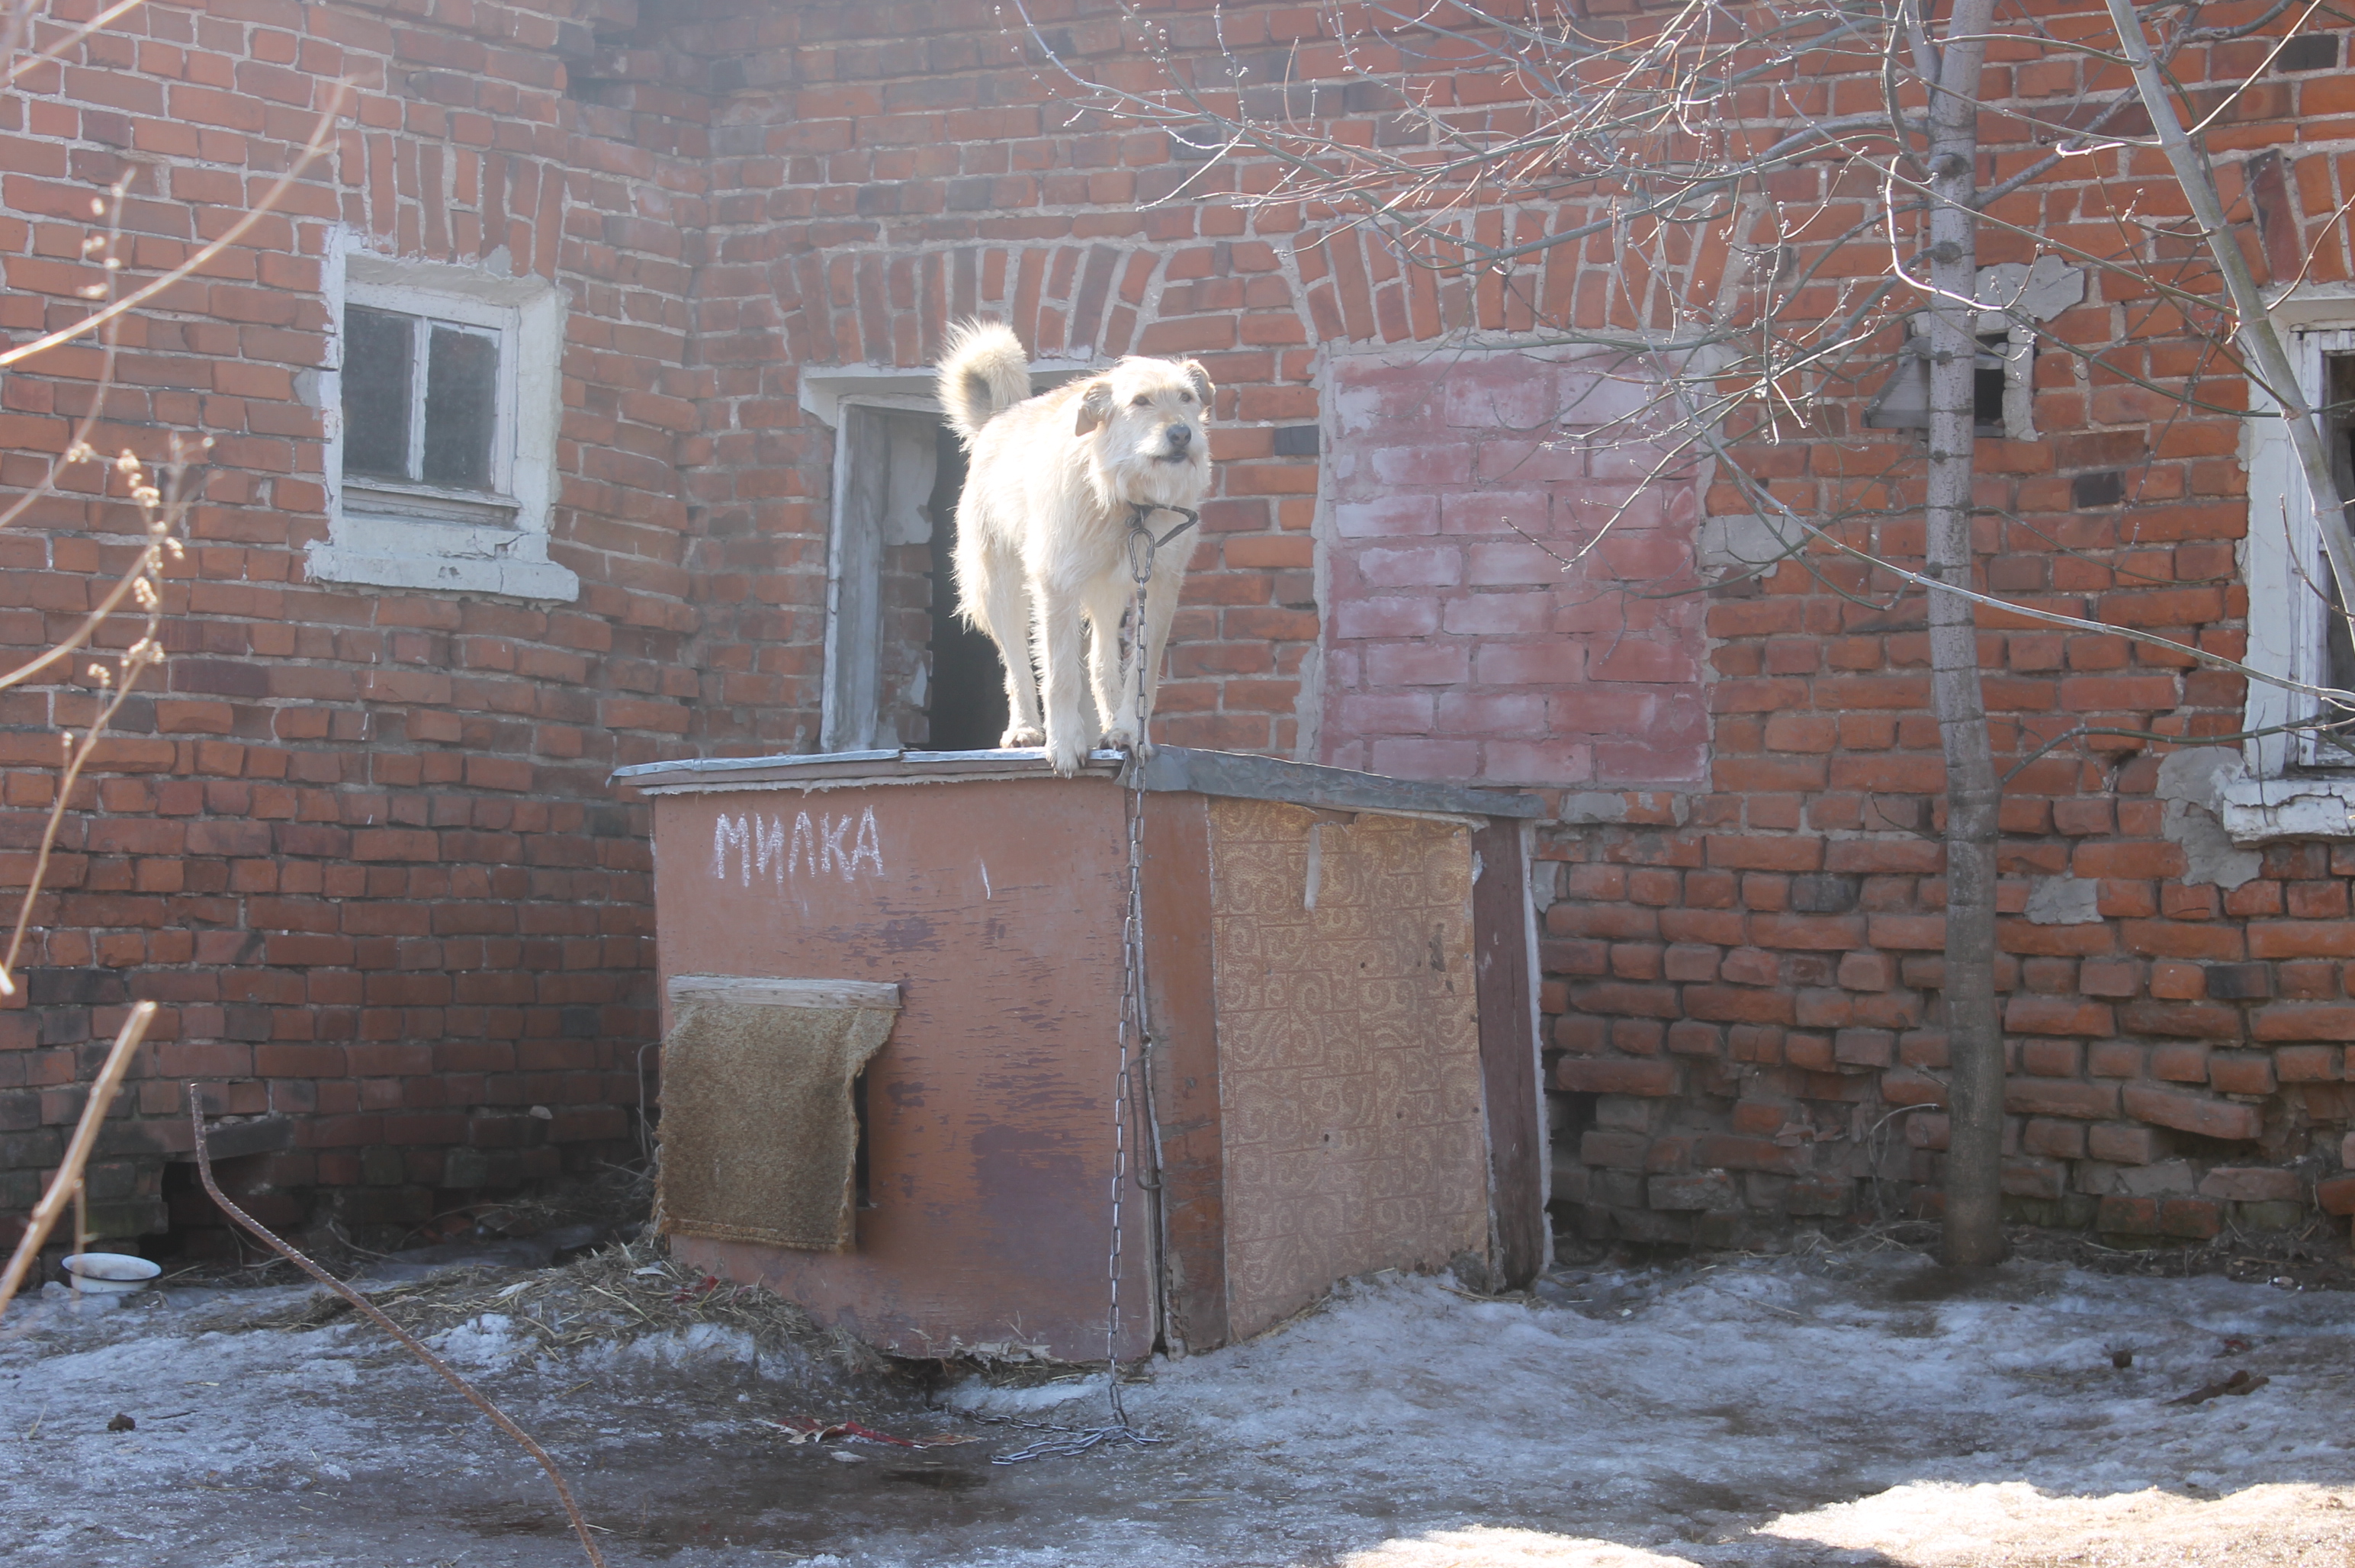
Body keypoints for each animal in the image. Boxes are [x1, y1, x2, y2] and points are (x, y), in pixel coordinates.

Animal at [932, 320, 1215, 776]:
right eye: (1140, 402)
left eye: (1187, 398)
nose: (1181, 434)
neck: (1127, 499)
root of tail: (997, 418)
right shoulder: (1056, 584)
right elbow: (1060, 675)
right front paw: (1065, 744)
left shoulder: (1157, 588)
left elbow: (1142, 671)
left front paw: (1130, 733)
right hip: (1001, 591)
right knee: (1017, 664)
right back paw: (1025, 729)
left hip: (1107, 594)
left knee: (1100, 663)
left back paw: (1111, 725)